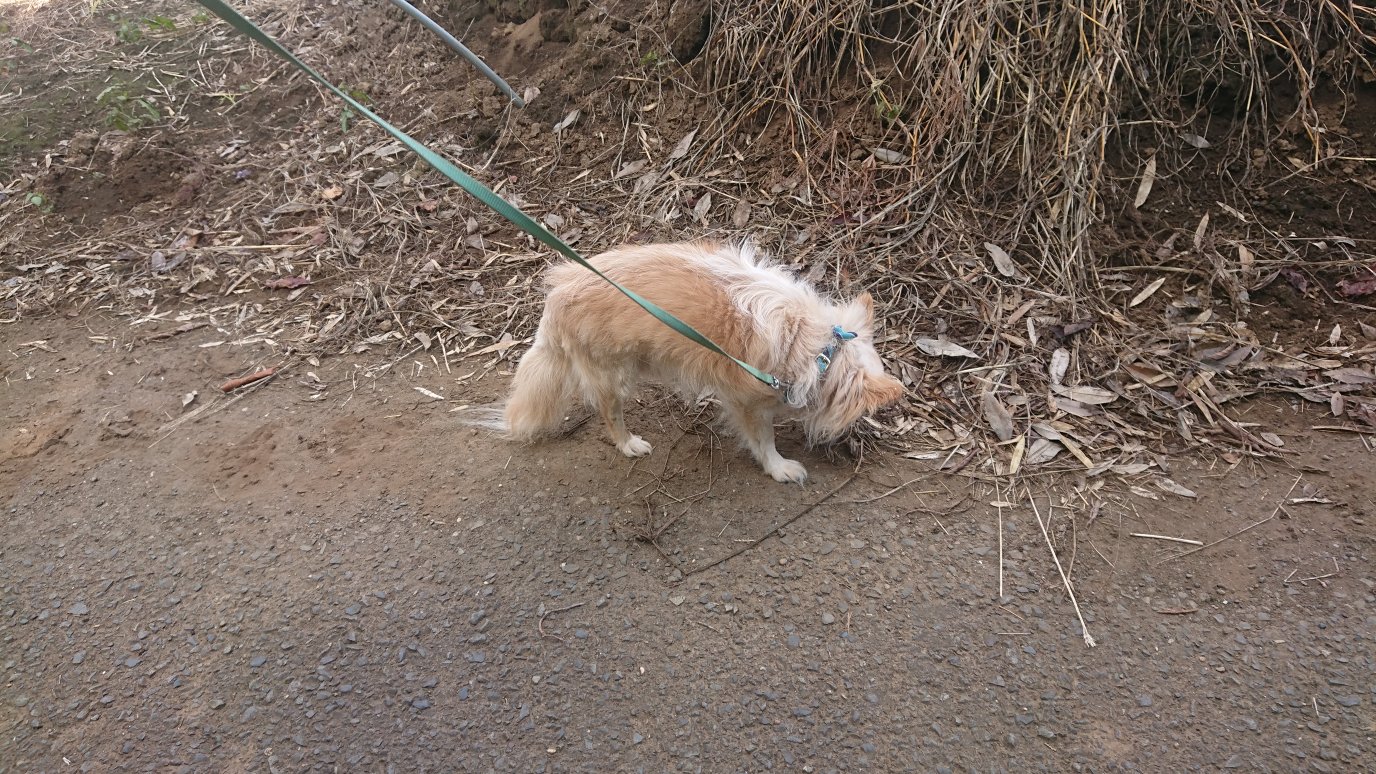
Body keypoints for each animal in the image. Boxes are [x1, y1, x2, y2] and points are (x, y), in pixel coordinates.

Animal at [486, 241, 904, 483]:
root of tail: (556, 296)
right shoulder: (747, 403)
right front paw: (779, 468)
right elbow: (764, 440)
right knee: (610, 413)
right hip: (615, 375)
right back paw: (629, 444)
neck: (820, 350)